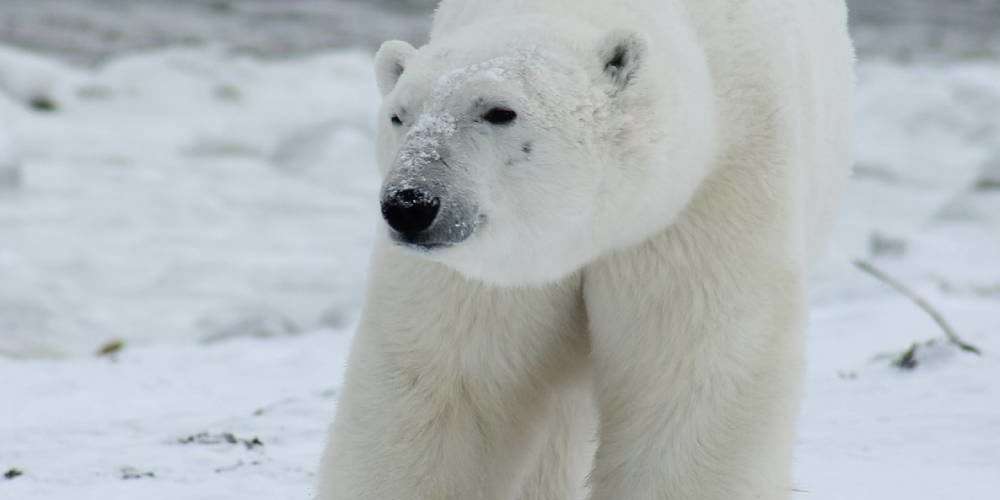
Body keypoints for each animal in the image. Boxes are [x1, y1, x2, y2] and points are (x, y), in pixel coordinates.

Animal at [317, 0, 854, 499]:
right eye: (398, 115)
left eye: (499, 111)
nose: (410, 204)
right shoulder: (487, 273)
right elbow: (443, 385)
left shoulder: (704, 202)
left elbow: (688, 378)